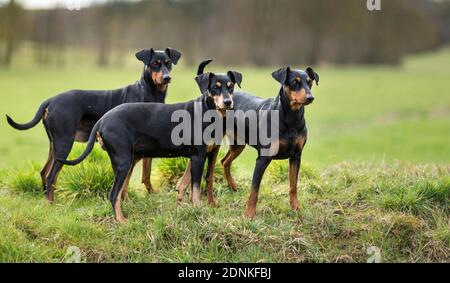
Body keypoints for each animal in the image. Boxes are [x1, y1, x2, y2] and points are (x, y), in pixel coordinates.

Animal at [57, 62, 243, 224]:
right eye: (215, 87)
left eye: (230, 86)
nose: (228, 102)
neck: (209, 112)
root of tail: (103, 120)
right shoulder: (198, 156)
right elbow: (195, 187)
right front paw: (197, 209)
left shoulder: (210, 152)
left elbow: (205, 179)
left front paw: (210, 204)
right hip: (123, 161)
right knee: (113, 194)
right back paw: (122, 220)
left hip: (128, 161)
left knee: (119, 192)